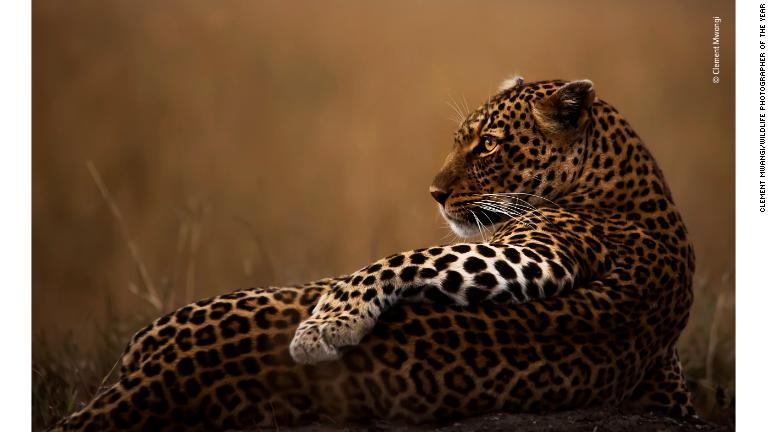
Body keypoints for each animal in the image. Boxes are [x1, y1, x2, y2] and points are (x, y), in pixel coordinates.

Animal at [52, 78, 696, 432]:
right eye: (460, 140)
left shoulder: (544, 251)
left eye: (488, 145)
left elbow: (404, 258)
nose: (434, 192)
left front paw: (325, 325)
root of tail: (164, 372)